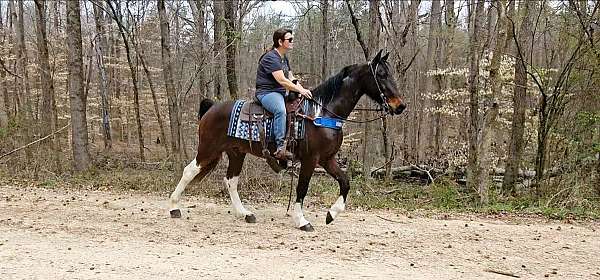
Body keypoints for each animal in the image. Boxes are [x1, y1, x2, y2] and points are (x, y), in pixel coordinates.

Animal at [166, 49, 406, 231]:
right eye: (381, 74)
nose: (400, 105)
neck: (321, 112)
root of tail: (212, 107)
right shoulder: (311, 159)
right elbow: (302, 188)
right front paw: (302, 220)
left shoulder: (327, 159)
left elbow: (345, 182)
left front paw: (331, 214)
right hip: (208, 149)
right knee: (190, 171)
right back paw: (174, 207)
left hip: (236, 152)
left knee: (231, 180)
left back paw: (244, 213)